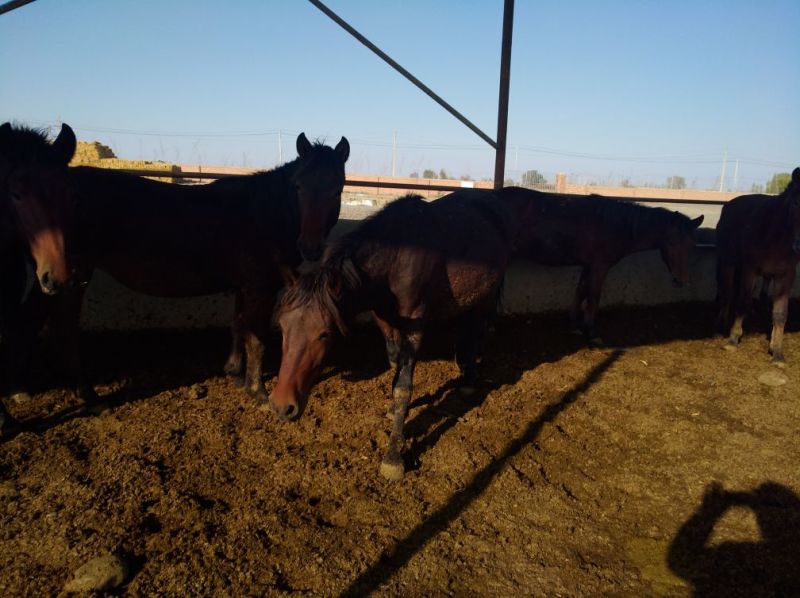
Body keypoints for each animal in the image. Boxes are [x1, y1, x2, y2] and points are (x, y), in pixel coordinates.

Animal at [270, 189, 540, 480]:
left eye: (324, 334)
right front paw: (393, 411)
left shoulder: (415, 326)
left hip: (486, 296)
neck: (395, 259)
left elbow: (403, 387)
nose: (282, 405)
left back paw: (468, 380)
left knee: (476, 330)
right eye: (283, 328)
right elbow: (393, 366)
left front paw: (392, 458)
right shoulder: (385, 321)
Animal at [499, 186, 704, 342]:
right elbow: (593, 296)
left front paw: (574, 325)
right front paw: (590, 332)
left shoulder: (588, 265)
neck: (615, 225)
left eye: (692, 244)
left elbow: (580, 292)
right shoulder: (600, 266)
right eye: (671, 242)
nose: (681, 281)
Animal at [715, 167, 800, 365]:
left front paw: (777, 352)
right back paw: (722, 324)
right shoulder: (750, 270)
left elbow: (780, 313)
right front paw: (733, 339)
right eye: (795, 203)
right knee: (727, 291)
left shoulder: (786, 275)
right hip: (728, 262)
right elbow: (743, 301)